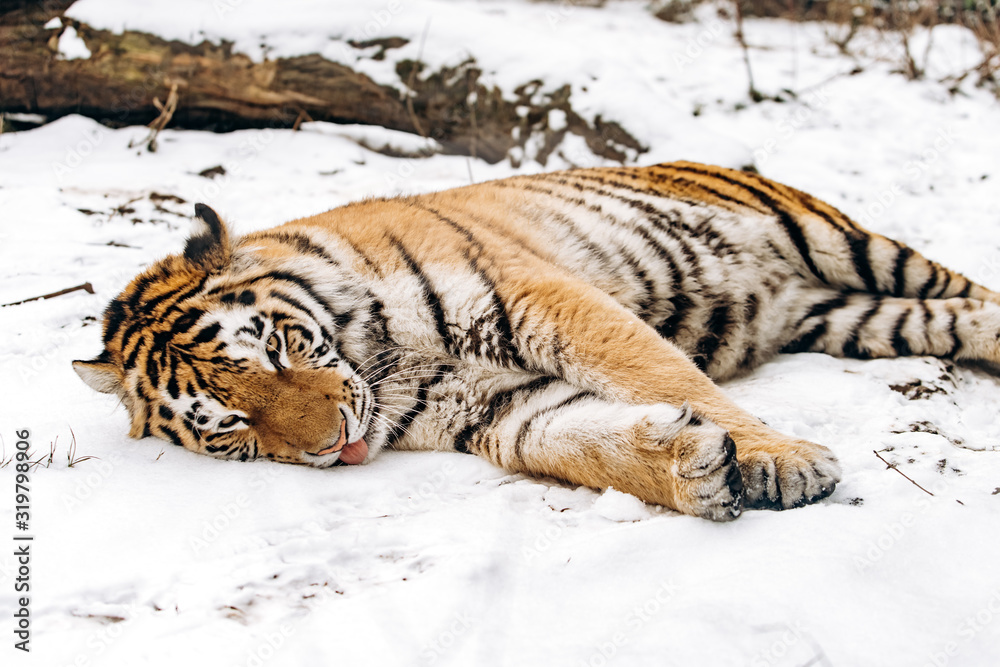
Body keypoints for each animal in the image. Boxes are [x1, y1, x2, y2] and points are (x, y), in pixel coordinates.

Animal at [72, 161, 1000, 521]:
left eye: (271, 349)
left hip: (837, 240)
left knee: (970, 290)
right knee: (949, 317)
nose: (331, 444)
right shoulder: (496, 404)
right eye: (233, 426)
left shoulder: (539, 297)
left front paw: (782, 461)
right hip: (842, 314)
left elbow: (664, 373)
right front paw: (695, 470)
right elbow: (576, 442)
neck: (379, 360)